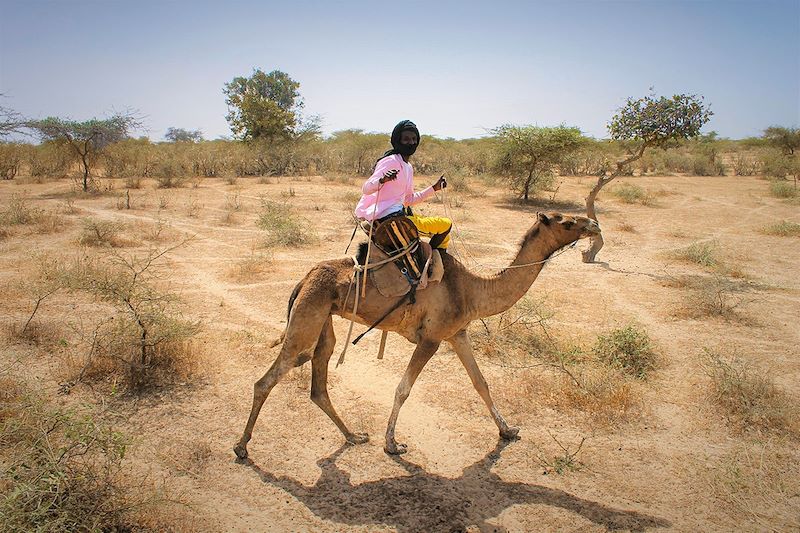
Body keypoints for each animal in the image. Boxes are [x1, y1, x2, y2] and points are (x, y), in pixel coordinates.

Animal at [234, 211, 596, 458]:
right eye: (566, 221)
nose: (593, 224)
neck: (473, 289)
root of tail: (303, 279)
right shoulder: (431, 339)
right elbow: (403, 389)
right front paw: (392, 444)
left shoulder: (458, 333)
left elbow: (481, 383)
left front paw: (508, 430)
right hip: (307, 316)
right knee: (269, 378)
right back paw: (241, 447)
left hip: (323, 319)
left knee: (319, 382)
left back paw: (354, 436)